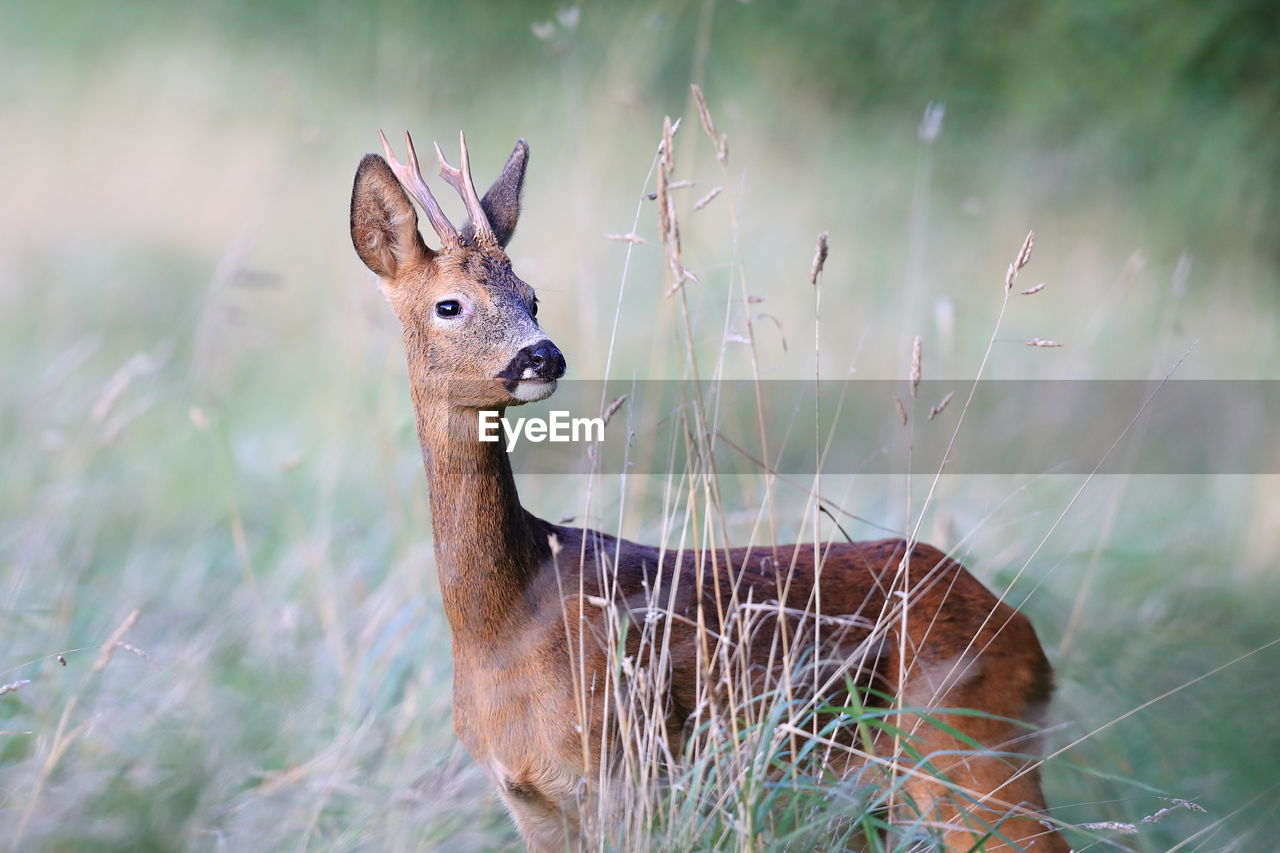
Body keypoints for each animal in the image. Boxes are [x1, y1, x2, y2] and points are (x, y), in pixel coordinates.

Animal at [350, 129, 1070, 845]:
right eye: (448, 304)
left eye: (531, 297)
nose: (542, 355)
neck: (503, 624)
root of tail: (1024, 632)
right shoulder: (531, 801)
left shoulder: (624, 772)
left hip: (967, 745)